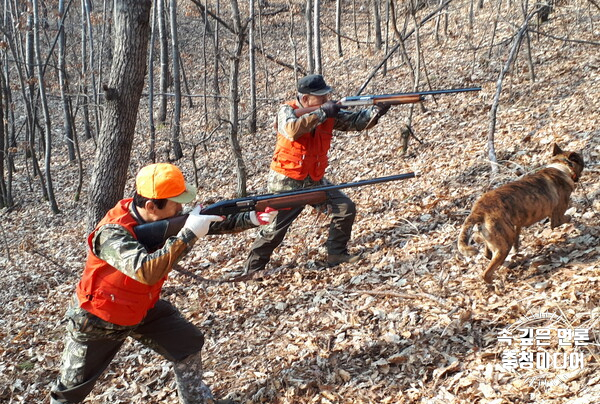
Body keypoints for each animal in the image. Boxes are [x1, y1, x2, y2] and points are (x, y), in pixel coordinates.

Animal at [460, 144, 580, 282]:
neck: (561, 167)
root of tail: (478, 209)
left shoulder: (517, 225)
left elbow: (517, 237)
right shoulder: (557, 218)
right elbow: (566, 218)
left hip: (493, 238)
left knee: (487, 254)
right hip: (503, 247)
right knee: (487, 273)